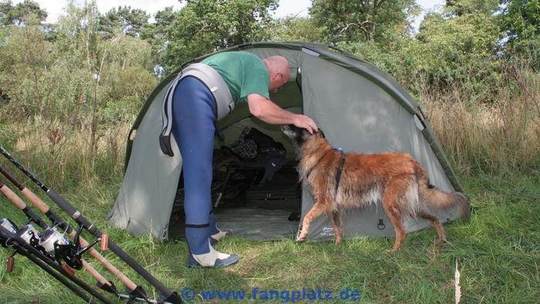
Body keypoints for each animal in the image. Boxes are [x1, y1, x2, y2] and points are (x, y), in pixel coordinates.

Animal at [280, 124, 470, 251]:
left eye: (298, 125)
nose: (284, 124)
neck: (317, 153)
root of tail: (411, 160)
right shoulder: (334, 207)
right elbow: (337, 228)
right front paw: (338, 246)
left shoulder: (323, 202)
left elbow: (306, 218)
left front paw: (302, 235)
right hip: (413, 206)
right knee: (435, 219)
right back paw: (441, 241)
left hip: (391, 204)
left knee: (402, 232)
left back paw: (394, 252)